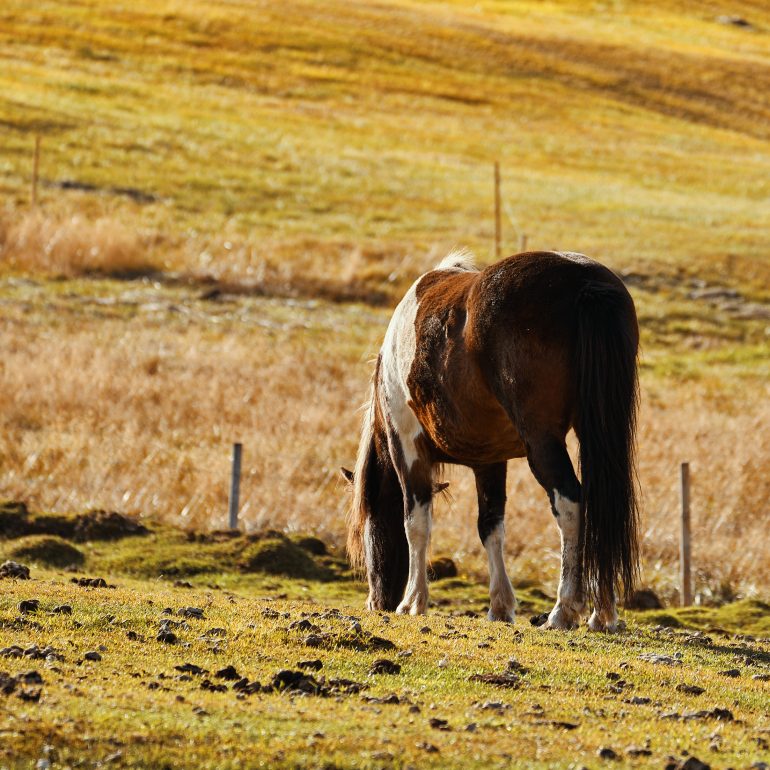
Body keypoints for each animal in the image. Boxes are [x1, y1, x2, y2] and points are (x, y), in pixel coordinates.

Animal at [342, 249, 640, 632]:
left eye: (367, 528)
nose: (376, 602)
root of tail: (584, 280)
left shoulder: (407, 449)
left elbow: (416, 523)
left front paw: (413, 602)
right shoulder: (490, 460)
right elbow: (490, 527)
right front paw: (500, 606)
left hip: (542, 443)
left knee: (571, 505)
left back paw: (563, 610)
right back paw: (602, 614)